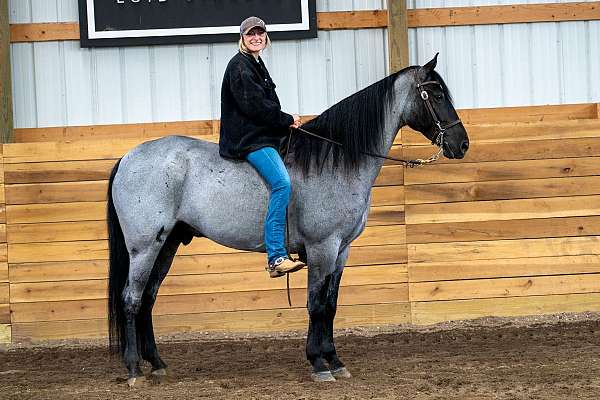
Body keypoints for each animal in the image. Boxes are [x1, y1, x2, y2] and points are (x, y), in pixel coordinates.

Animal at [104, 53, 468, 384]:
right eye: (436, 94)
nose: (461, 144)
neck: (335, 160)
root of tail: (128, 157)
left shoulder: (341, 250)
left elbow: (331, 305)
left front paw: (334, 360)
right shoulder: (322, 248)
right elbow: (316, 305)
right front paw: (319, 363)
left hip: (167, 244)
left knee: (148, 298)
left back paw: (157, 364)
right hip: (144, 247)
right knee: (132, 299)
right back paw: (134, 369)